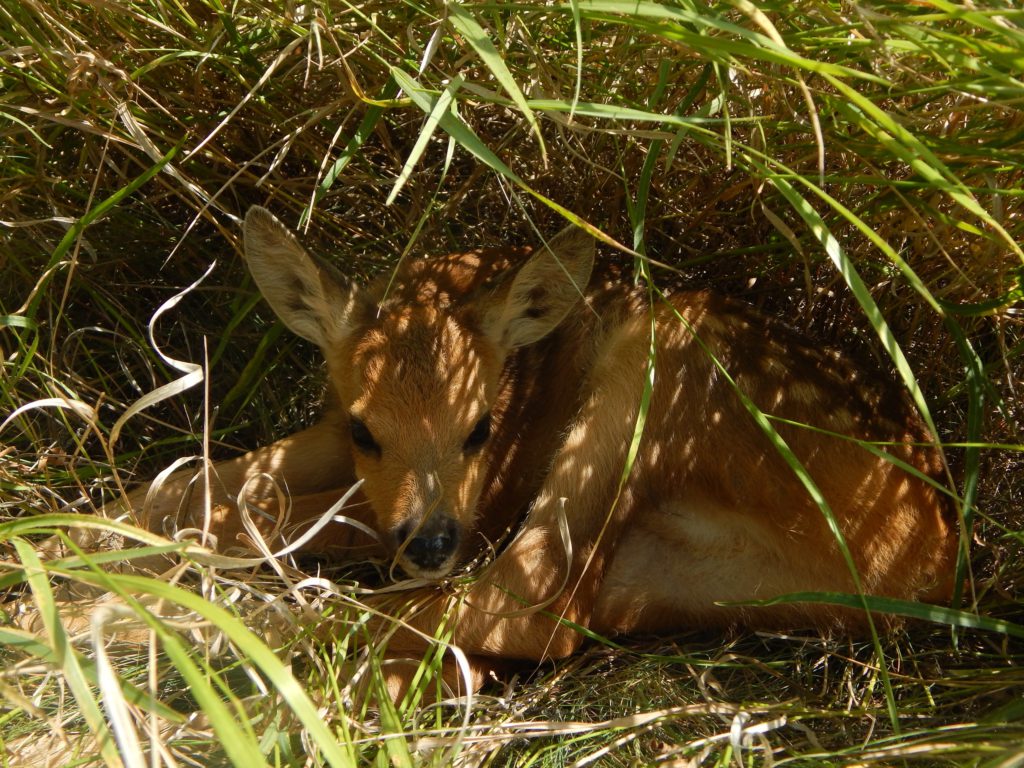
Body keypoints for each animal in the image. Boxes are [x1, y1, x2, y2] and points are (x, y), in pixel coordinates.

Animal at [132, 207, 954, 700]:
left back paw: (170, 632)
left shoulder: (491, 490)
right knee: (545, 611)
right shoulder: (338, 432)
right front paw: (105, 536)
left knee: (529, 597)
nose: (429, 541)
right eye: (369, 430)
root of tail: (931, 559)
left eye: (480, 427)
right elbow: (204, 485)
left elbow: (263, 506)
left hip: (672, 354)